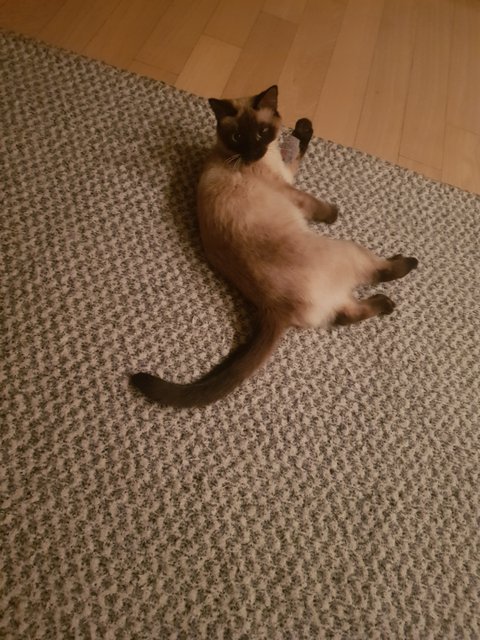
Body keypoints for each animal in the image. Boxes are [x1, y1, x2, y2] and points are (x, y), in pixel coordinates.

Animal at [131, 85, 418, 407]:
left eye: (261, 133)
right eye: (237, 137)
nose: (252, 153)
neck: (254, 159)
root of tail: (274, 309)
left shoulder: (285, 170)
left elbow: (296, 150)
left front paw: (304, 127)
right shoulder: (291, 191)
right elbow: (317, 205)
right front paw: (334, 213)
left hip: (335, 294)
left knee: (346, 315)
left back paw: (386, 303)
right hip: (348, 249)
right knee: (380, 274)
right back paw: (406, 264)